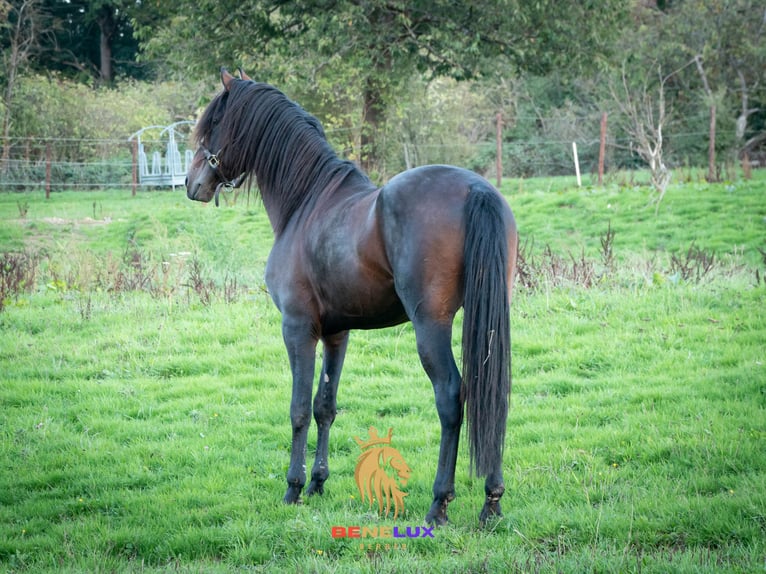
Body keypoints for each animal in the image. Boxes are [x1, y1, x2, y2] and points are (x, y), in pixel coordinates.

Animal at [188, 68, 520, 528]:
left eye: (212, 125)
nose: (192, 184)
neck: (307, 202)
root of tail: (475, 189)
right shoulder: (337, 334)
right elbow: (325, 405)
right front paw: (317, 482)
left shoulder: (298, 330)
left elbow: (298, 409)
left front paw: (293, 488)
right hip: (488, 321)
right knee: (494, 394)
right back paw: (492, 501)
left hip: (430, 324)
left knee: (451, 396)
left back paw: (439, 503)